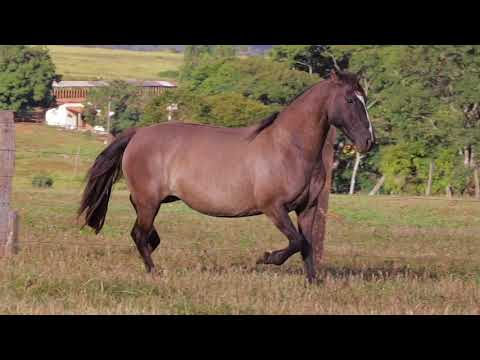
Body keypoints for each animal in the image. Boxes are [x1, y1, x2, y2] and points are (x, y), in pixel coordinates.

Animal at [78, 69, 376, 282]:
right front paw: (266, 258)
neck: (290, 148)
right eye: (351, 99)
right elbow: (296, 241)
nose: (368, 142)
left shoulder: (308, 208)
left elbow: (308, 245)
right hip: (149, 201)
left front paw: (313, 282)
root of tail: (138, 133)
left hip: (153, 201)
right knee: (139, 235)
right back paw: (155, 273)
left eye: (364, 99)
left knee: (144, 233)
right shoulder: (274, 207)